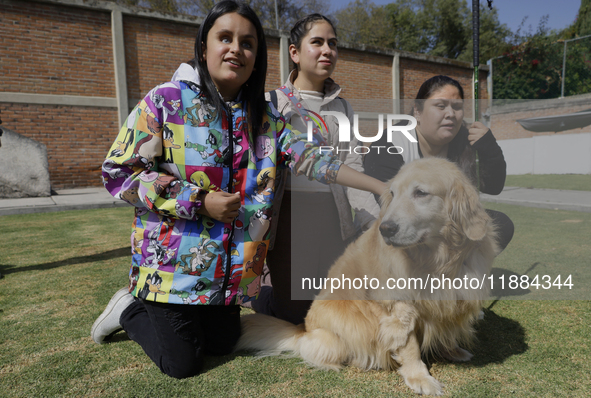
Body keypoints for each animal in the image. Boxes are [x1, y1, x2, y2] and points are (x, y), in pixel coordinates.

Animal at [236, 158, 500, 394]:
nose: (386, 229)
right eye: (392, 193)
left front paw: (452, 350)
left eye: (421, 193)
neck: (438, 259)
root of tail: (303, 329)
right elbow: (409, 347)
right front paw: (420, 378)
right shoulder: (399, 307)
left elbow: (447, 328)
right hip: (339, 335)